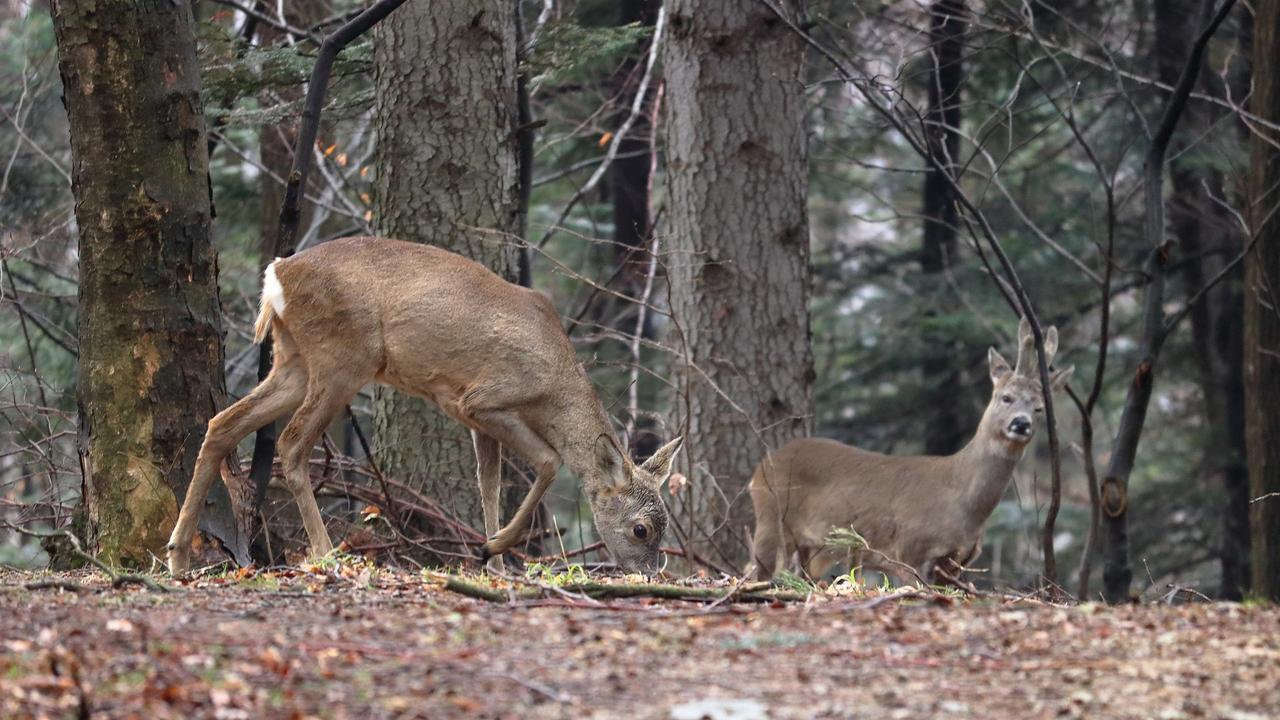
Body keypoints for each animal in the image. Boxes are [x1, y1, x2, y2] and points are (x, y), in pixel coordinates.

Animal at [166, 235, 686, 571]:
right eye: (642, 529)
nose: (648, 572)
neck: (553, 384)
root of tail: (277, 274)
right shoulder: (485, 399)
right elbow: (548, 461)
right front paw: (494, 548)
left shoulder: (474, 417)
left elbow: (488, 484)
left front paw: (492, 561)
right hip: (342, 358)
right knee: (292, 443)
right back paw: (326, 553)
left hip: (294, 360)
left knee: (222, 423)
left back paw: (177, 555)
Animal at [747, 319, 1070, 584]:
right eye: (1005, 397)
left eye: (1039, 408)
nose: (1021, 423)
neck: (961, 500)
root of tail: (761, 467)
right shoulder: (911, 549)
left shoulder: (957, 562)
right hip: (771, 515)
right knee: (757, 569)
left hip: (813, 547)